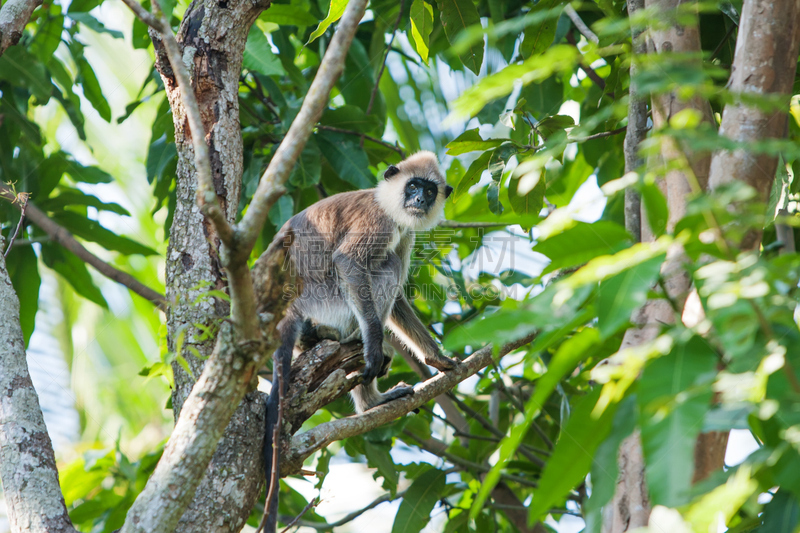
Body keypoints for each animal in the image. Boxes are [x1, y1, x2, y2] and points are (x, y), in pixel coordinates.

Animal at [264, 151, 456, 532]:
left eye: (429, 191)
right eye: (413, 186)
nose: (418, 200)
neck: (384, 199)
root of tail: (289, 307)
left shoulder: (404, 231)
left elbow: (399, 301)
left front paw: (437, 359)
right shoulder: (380, 221)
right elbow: (349, 261)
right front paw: (374, 348)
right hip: (327, 301)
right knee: (385, 265)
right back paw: (364, 374)